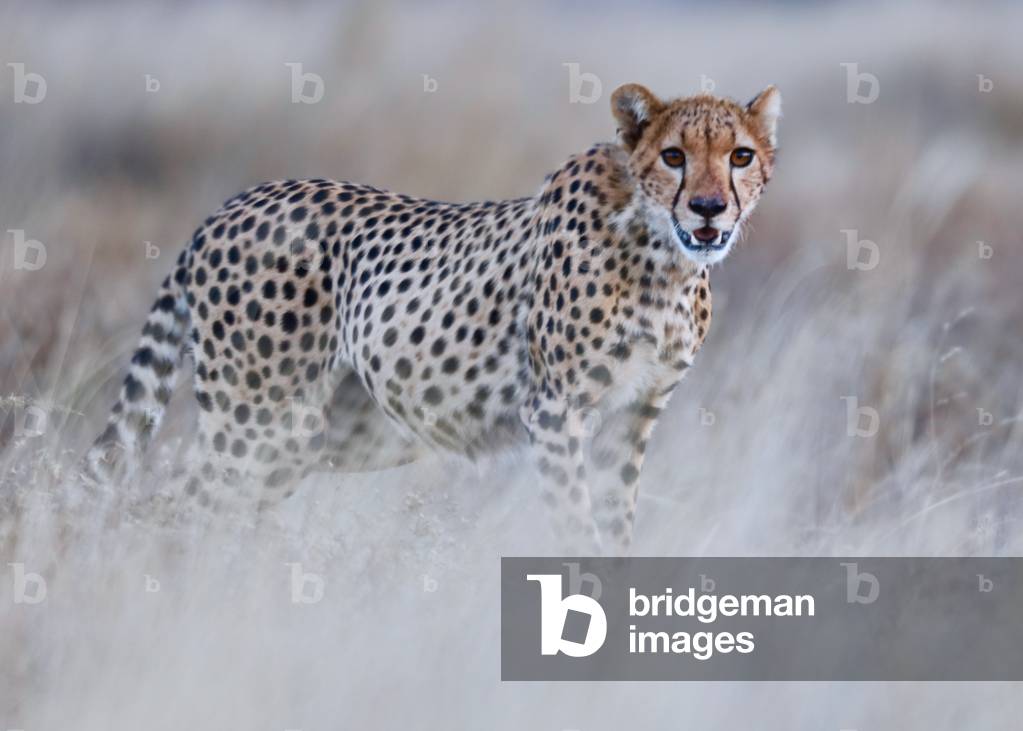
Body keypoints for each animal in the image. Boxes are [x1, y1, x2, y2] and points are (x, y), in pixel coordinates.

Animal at [84, 83, 781, 554]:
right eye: (674, 157)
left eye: (741, 157)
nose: (709, 207)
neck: (662, 257)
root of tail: (228, 205)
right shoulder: (556, 412)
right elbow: (576, 529)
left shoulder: (631, 416)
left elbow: (616, 531)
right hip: (258, 422)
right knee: (177, 508)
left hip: (316, 435)